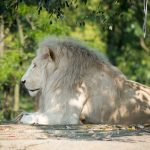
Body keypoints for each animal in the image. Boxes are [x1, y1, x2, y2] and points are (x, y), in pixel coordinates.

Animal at [20, 37, 150, 125]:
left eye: (34, 65)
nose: (22, 81)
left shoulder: (66, 115)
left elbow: (35, 117)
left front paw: (25, 117)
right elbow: (34, 113)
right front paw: (25, 113)